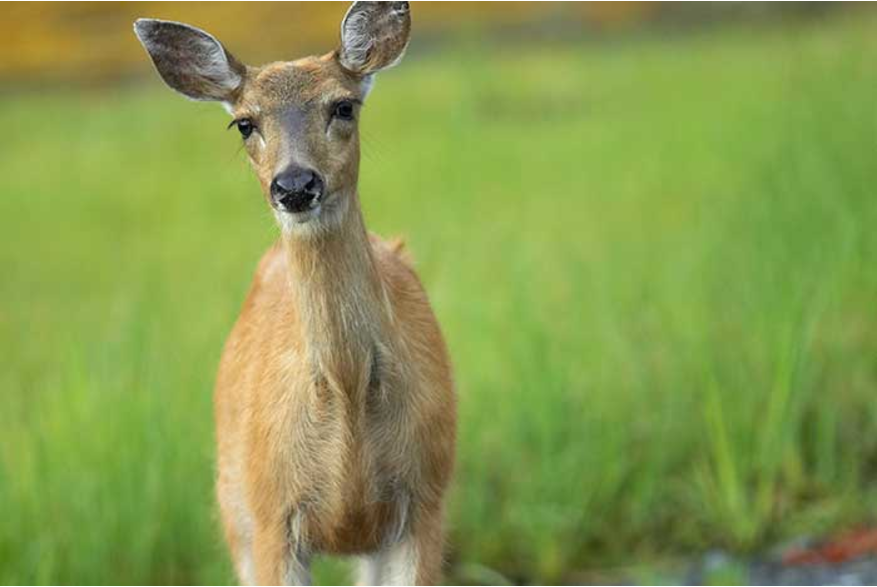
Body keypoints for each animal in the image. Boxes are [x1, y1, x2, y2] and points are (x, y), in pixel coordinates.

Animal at [134, 2, 456, 585]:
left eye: (343, 106)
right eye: (244, 123)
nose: (294, 185)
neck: (348, 392)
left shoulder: (426, 498)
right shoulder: (270, 513)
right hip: (233, 503)